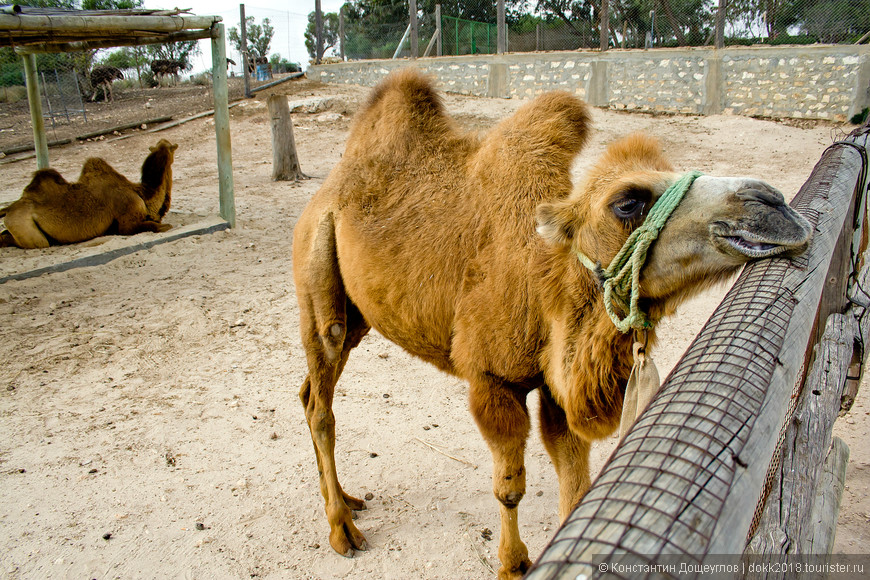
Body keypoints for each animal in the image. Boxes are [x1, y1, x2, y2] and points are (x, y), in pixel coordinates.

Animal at [0, 142, 179, 250]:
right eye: (172, 149)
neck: (142, 193)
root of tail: (8, 209)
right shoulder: (127, 223)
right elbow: (159, 226)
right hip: (27, 229)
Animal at [292, 69, 812, 580]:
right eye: (627, 203)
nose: (774, 203)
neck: (543, 277)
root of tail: (325, 191)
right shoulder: (491, 380)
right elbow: (509, 488)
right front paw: (512, 563)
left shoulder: (556, 387)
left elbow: (575, 482)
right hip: (317, 272)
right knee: (320, 400)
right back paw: (341, 528)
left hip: (358, 316)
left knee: (308, 390)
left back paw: (349, 500)